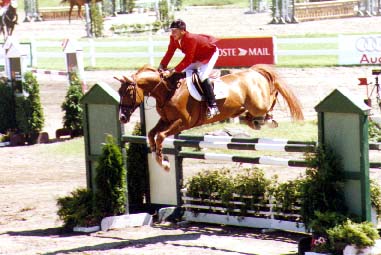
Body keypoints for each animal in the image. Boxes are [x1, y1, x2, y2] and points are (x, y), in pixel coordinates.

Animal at [116, 63, 302, 171]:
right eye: (119, 92)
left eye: (128, 93)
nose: (122, 118)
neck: (168, 91)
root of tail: (253, 72)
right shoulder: (166, 121)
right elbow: (151, 134)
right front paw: (160, 157)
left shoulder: (182, 123)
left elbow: (160, 136)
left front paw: (164, 162)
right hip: (246, 107)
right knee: (251, 114)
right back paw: (253, 121)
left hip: (258, 104)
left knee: (272, 96)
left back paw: (269, 119)